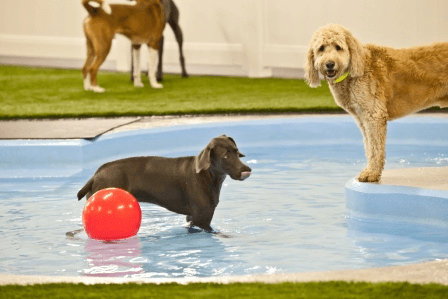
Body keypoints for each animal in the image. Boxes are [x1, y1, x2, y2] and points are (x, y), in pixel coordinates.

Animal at [77, 136, 252, 232]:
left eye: (236, 152)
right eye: (225, 157)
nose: (247, 170)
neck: (207, 175)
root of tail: (96, 175)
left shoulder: (191, 218)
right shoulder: (202, 219)